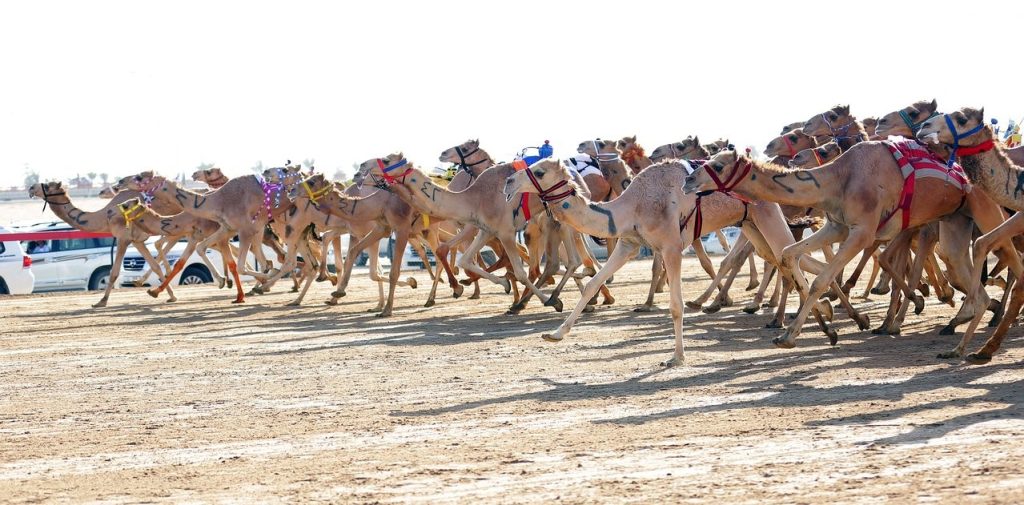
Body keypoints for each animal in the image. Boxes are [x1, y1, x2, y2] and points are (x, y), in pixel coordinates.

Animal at [27, 181, 176, 307]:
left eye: (47, 186)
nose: (31, 187)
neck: (106, 216)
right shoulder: (137, 240)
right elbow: (155, 266)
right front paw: (170, 296)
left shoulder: (123, 238)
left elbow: (114, 272)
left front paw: (102, 301)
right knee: (164, 244)